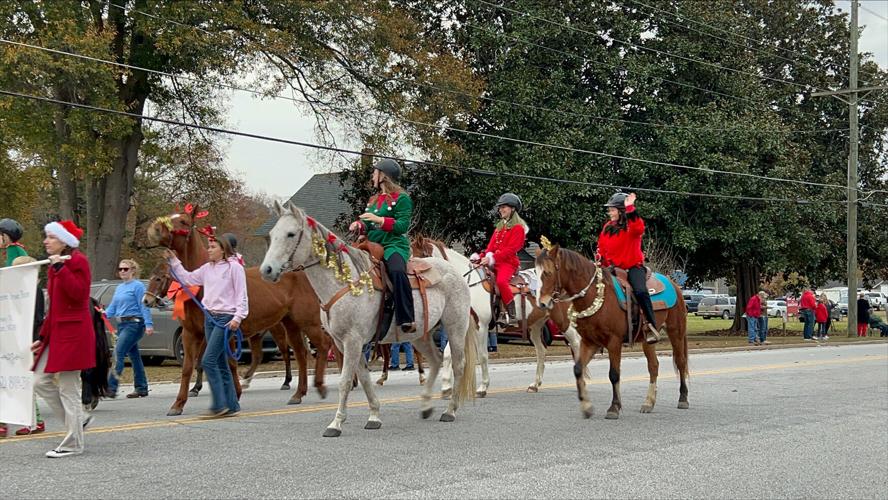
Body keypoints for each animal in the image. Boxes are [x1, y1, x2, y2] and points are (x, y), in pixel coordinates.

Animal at [144, 262, 296, 394]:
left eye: (158, 278)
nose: (146, 300)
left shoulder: (206, 337)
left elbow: (202, 361)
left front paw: (197, 387)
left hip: (277, 329)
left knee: (285, 352)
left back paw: (286, 381)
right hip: (256, 333)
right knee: (258, 356)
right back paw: (246, 381)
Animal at [258, 204, 478, 438]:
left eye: (290, 234)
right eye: (271, 235)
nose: (267, 270)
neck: (343, 282)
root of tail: (455, 271)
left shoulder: (352, 340)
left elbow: (345, 381)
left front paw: (335, 423)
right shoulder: (343, 342)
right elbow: (363, 378)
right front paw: (373, 416)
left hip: (455, 327)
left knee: (458, 364)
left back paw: (450, 410)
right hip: (419, 334)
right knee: (436, 360)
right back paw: (426, 406)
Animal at [410, 233, 588, 394]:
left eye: (420, 259)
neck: (468, 286)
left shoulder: (480, 326)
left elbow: (482, 355)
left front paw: (483, 387)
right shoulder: (464, 327)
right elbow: (448, 353)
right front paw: (447, 387)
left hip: (563, 322)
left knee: (576, 343)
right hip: (535, 326)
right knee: (541, 351)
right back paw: (535, 385)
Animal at [532, 242, 692, 418]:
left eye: (548, 272)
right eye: (535, 272)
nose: (542, 303)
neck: (596, 295)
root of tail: (675, 286)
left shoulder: (614, 342)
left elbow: (614, 374)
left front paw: (614, 407)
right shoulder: (589, 342)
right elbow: (578, 369)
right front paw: (587, 406)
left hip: (676, 332)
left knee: (681, 362)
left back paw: (683, 399)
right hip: (647, 340)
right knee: (653, 366)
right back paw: (648, 403)